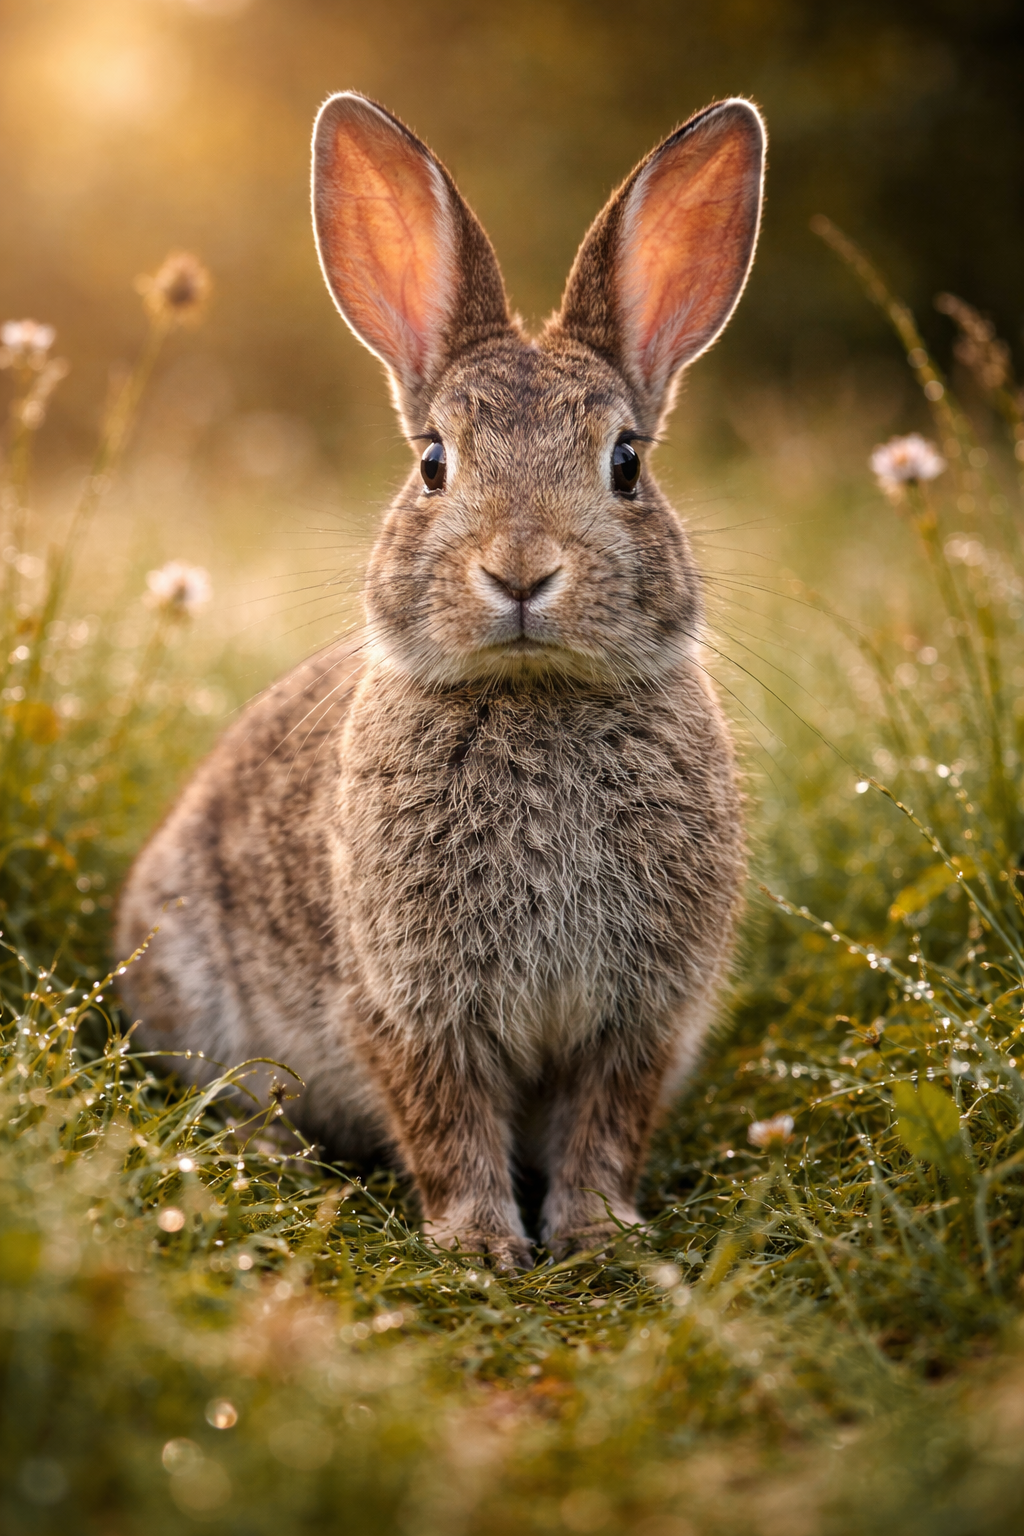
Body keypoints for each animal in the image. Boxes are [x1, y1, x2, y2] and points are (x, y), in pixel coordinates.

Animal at [116, 91, 765, 1269]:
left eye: (626, 463)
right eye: (432, 463)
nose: (520, 569)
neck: (537, 692)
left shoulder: (642, 1012)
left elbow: (604, 1122)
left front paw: (597, 1236)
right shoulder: (410, 1006)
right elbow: (448, 1120)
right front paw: (479, 1246)